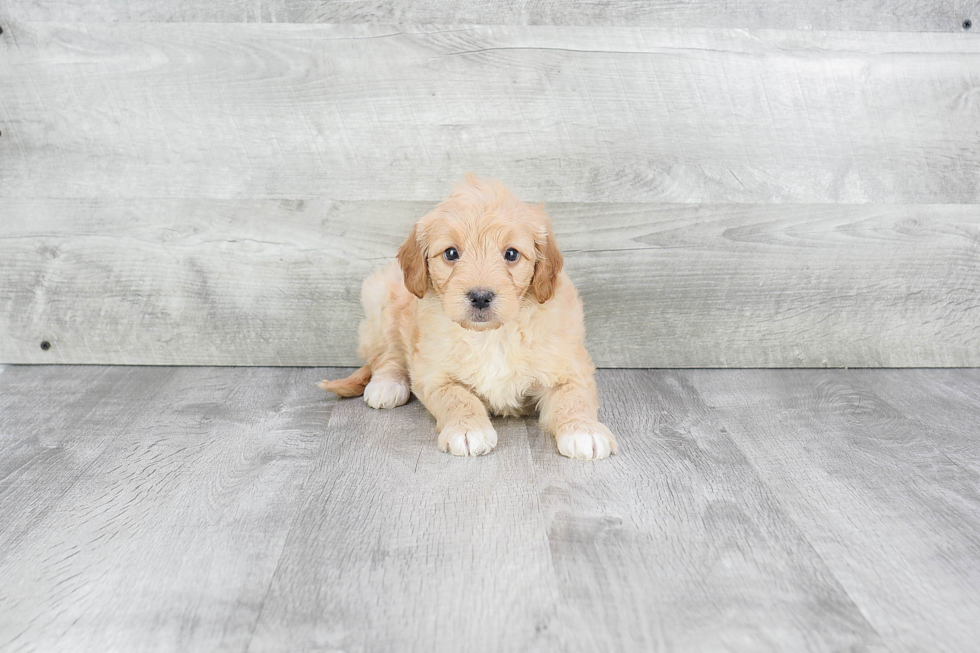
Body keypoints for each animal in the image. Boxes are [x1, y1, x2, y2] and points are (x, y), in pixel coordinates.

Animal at [322, 173, 616, 458]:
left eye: (511, 254)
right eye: (451, 253)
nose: (480, 297)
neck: (491, 335)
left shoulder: (569, 366)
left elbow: (573, 396)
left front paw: (584, 431)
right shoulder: (434, 374)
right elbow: (457, 397)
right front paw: (467, 430)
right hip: (381, 298)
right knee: (388, 352)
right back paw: (387, 384)